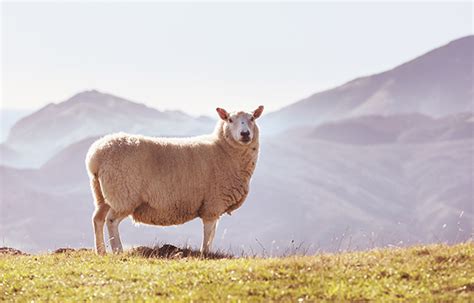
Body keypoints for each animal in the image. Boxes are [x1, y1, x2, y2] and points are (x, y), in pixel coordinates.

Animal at [85, 105, 262, 255]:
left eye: (252, 118)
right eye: (230, 120)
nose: (245, 134)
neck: (222, 149)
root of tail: (95, 156)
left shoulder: (214, 206)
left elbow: (212, 232)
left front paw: (208, 252)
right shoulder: (212, 203)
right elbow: (208, 232)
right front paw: (205, 253)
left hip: (103, 194)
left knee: (97, 219)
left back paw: (101, 251)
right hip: (123, 194)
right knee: (111, 220)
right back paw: (117, 250)